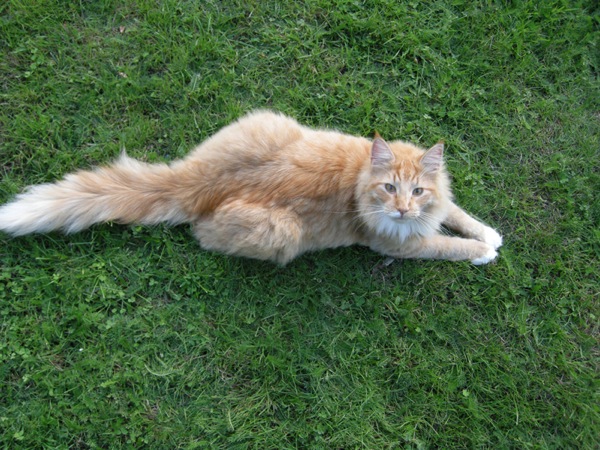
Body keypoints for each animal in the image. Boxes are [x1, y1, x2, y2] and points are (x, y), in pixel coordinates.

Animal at [0, 111, 502, 266]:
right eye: (389, 188)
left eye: (417, 192)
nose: (401, 210)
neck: (358, 178)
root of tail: (195, 182)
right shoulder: (397, 245)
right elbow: (445, 246)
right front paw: (483, 251)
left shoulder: (438, 206)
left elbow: (457, 214)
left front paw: (488, 232)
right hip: (282, 232)